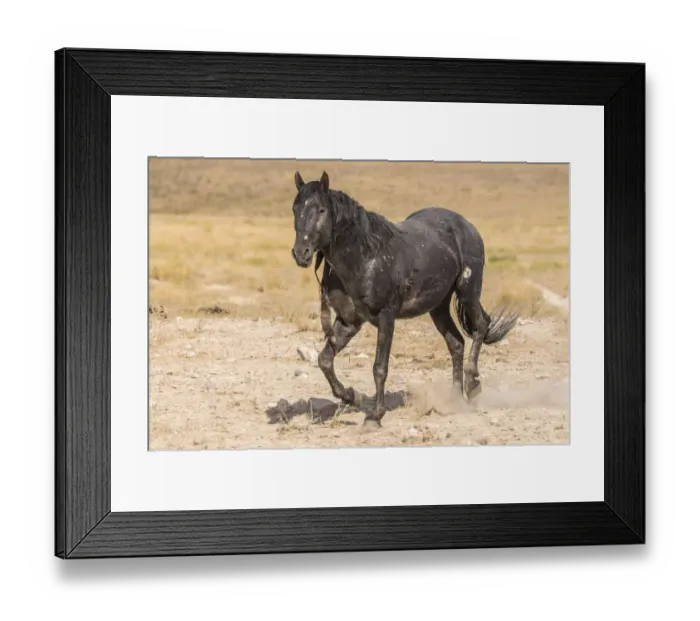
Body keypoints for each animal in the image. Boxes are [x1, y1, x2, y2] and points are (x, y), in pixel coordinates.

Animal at [290, 170, 519, 428]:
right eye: (295, 209)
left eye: (321, 210)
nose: (301, 253)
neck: (365, 257)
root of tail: (467, 226)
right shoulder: (349, 322)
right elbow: (324, 361)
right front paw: (352, 396)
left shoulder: (386, 317)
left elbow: (379, 367)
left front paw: (375, 416)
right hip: (438, 307)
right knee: (456, 342)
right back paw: (454, 399)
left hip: (468, 292)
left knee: (481, 325)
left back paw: (472, 385)